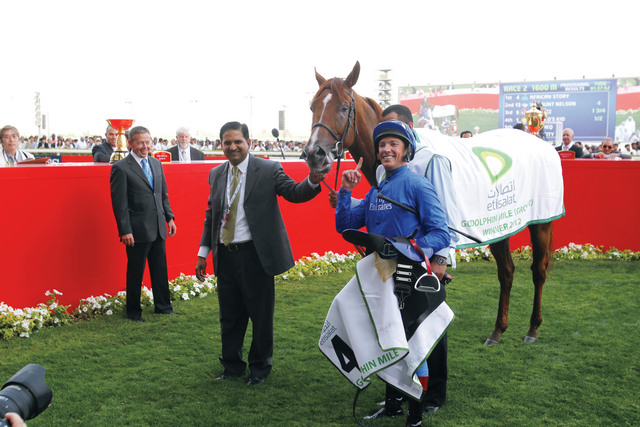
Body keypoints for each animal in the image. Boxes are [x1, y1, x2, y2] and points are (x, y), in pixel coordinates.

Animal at [305, 61, 555, 345]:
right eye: (313, 106)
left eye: (344, 107)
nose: (313, 153)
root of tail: (539, 140)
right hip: (499, 229)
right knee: (507, 271)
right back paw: (498, 330)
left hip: (541, 222)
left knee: (539, 269)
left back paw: (533, 328)